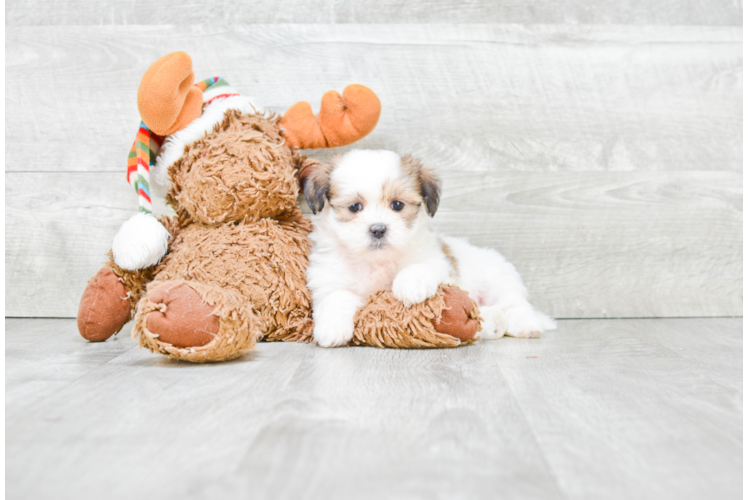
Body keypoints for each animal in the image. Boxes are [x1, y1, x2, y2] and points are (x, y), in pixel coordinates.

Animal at [304, 148, 556, 348]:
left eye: (397, 205)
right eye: (355, 207)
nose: (378, 229)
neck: (376, 261)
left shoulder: (437, 261)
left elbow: (419, 266)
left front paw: (410, 285)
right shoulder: (329, 279)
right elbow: (336, 298)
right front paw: (331, 329)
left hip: (497, 279)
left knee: (514, 303)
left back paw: (526, 324)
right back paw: (493, 323)